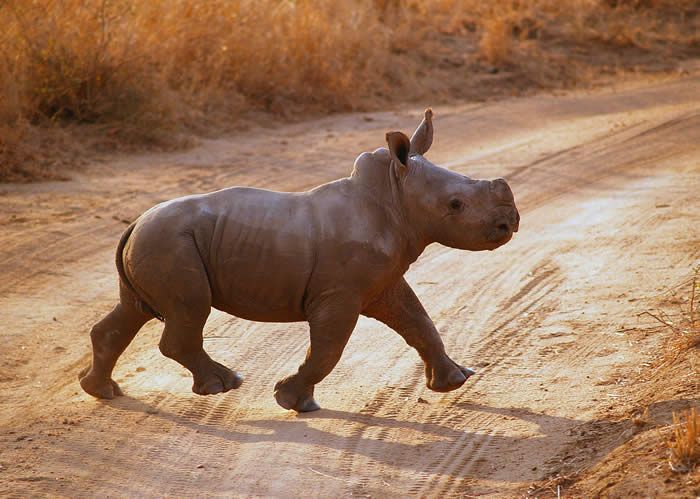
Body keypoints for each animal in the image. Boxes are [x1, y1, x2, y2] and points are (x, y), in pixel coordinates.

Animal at [79, 109, 520, 412]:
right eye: (455, 205)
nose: (511, 222)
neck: (396, 195)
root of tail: (135, 222)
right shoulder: (339, 293)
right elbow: (329, 347)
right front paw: (292, 401)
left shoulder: (385, 284)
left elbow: (419, 322)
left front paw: (455, 382)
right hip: (169, 243)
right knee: (189, 310)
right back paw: (225, 384)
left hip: (158, 243)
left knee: (132, 310)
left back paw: (102, 392)